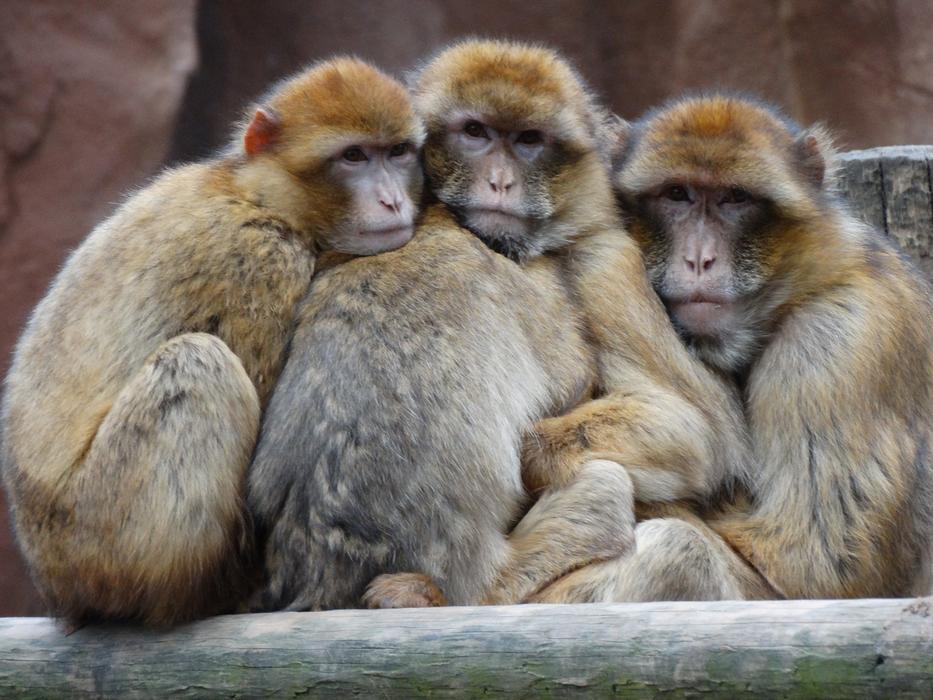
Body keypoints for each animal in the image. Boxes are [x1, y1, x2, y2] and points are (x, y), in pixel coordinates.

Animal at [0, 57, 426, 627]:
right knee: (198, 364)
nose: (392, 199)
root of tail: (53, 578)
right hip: (98, 535)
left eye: (397, 152)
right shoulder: (261, 258)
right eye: (354, 156)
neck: (258, 194)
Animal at [248, 40, 749, 612]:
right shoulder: (600, 260)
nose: (501, 181)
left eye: (529, 141)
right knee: (614, 498)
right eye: (476, 133)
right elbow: (694, 431)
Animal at [527, 94, 932, 604]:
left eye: (735, 198)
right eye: (677, 194)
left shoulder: (836, 342)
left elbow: (812, 570)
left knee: (680, 552)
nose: (699, 258)